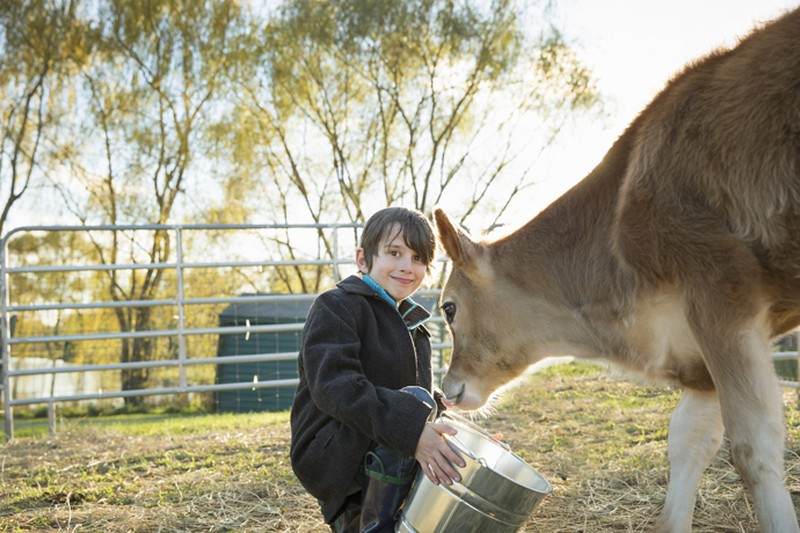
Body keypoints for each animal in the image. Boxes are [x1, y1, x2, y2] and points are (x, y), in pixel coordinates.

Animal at [434, 8, 800, 532]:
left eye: (448, 307)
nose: (445, 391)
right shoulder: (697, 349)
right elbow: (688, 441)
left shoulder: (719, 293)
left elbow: (753, 449)